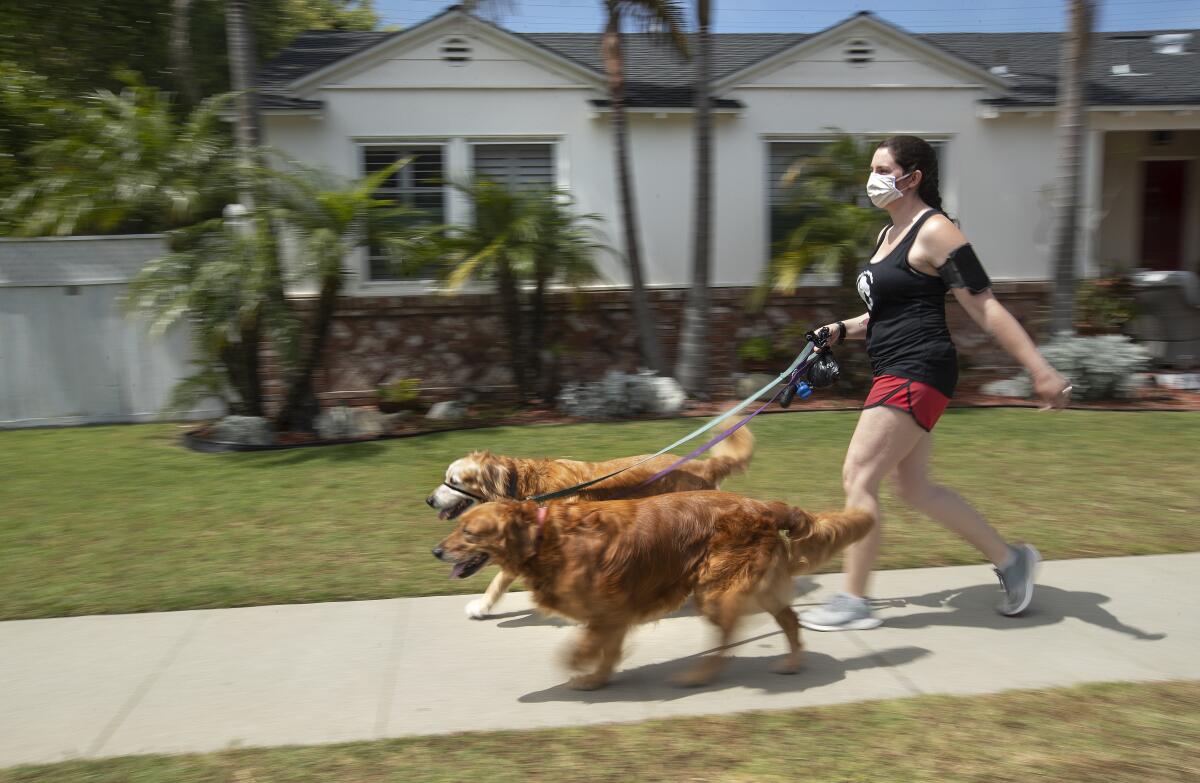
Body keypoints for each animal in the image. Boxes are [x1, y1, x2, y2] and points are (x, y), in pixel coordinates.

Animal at [427, 422, 753, 619]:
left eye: (453, 481)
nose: (429, 500)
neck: (524, 487)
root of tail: (704, 465)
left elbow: (499, 580)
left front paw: (481, 605)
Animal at [432, 492, 873, 686]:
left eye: (469, 533)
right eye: (458, 526)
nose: (436, 549)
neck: (544, 536)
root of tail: (764, 506)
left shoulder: (607, 609)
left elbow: (584, 646)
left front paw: (577, 667)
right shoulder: (613, 611)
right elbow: (606, 650)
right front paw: (597, 679)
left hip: (715, 589)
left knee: (728, 633)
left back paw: (700, 674)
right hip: (748, 586)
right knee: (789, 618)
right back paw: (792, 662)